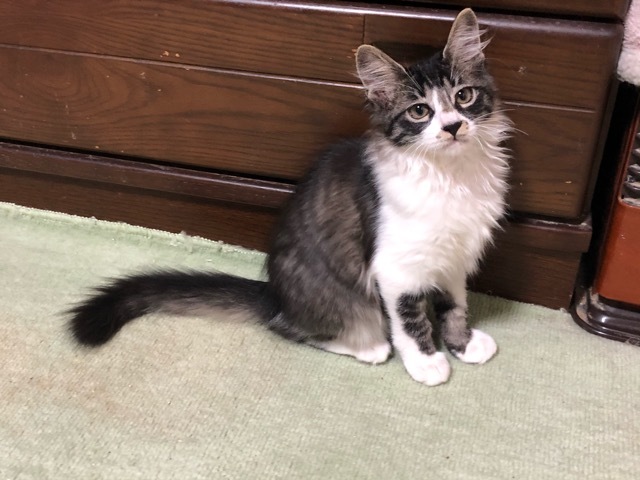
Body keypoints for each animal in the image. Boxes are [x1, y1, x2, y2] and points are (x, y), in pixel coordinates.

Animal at [69, 8, 511, 386]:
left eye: (464, 96)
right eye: (420, 111)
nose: (452, 127)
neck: (451, 175)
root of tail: (273, 295)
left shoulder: (453, 257)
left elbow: (454, 306)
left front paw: (463, 345)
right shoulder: (397, 268)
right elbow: (409, 320)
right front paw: (427, 362)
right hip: (340, 302)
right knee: (294, 328)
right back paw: (369, 347)